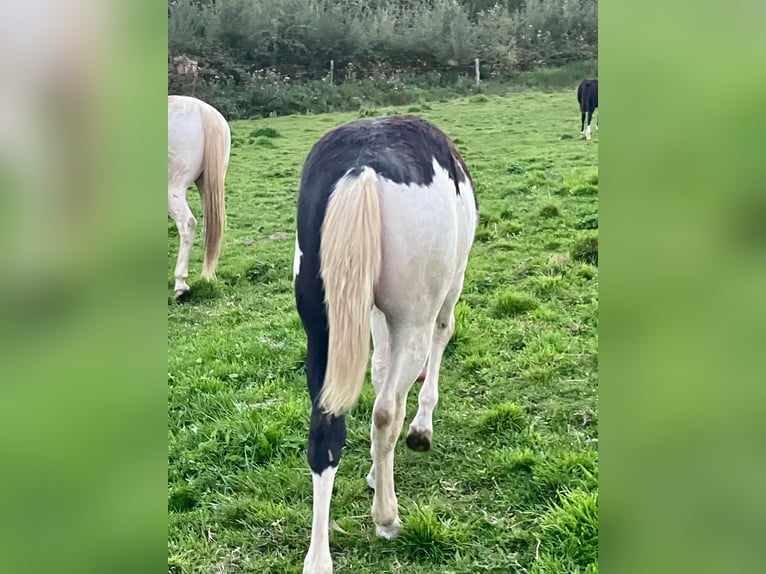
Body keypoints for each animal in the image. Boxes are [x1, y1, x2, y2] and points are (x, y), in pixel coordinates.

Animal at [294, 115, 478, 574]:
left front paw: (376, 474)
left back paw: (319, 558)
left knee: (326, 428)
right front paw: (421, 431)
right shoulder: (446, 294)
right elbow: (441, 338)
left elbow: (378, 368)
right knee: (385, 411)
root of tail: (363, 168)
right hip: (413, 318)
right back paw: (387, 516)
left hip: (323, 330)